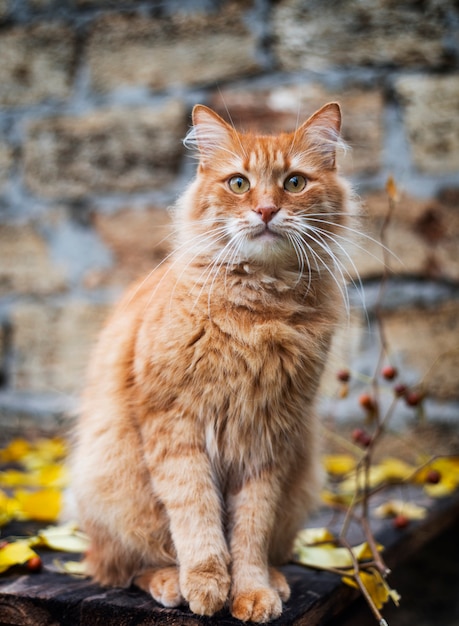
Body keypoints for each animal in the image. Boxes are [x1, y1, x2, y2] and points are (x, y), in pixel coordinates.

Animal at [72, 101, 354, 620]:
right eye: (238, 184)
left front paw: (251, 592)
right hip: (113, 482)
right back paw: (170, 582)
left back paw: (276, 580)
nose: (266, 210)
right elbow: (197, 520)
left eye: (294, 183)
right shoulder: (176, 428)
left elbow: (249, 534)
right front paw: (205, 588)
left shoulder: (268, 438)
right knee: (123, 567)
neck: (257, 311)